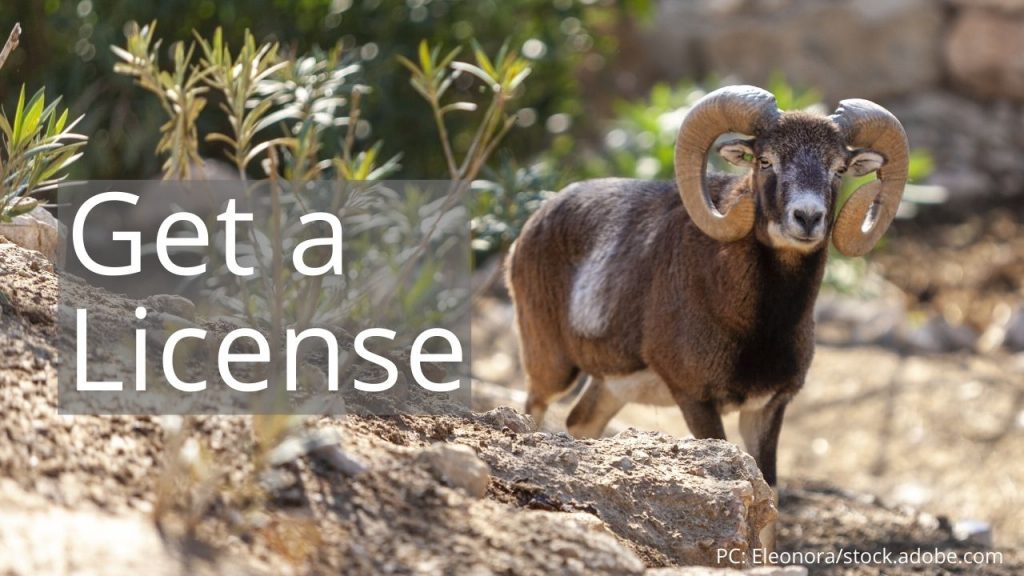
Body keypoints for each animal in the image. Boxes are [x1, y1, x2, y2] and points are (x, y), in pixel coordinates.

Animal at [505, 85, 908, 551]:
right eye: (765, 161)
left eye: (839, 168)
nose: (807, 218)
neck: (760, 328)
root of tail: (531, 227)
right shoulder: (695, 399)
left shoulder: (768, 408)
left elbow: (769, 498)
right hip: (551, 366)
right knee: (535, 406)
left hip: (611, 386)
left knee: (579, 421)